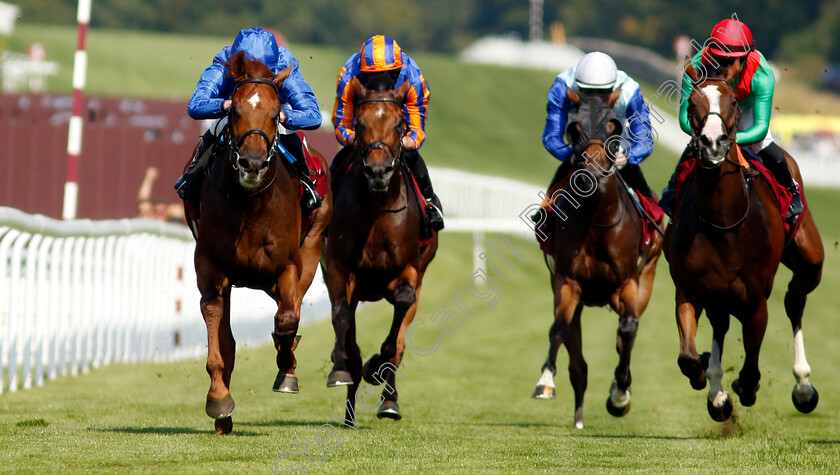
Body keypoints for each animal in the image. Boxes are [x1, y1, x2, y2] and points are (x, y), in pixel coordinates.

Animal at [190, 52, 332, 436]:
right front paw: (219, 401)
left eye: (275, 113)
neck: (250, 204)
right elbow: (219, 334)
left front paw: (287, 370)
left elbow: (287, 319)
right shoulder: (211, 267)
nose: (251, 163)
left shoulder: (289, 265)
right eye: (235, 110)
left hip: (311, 249)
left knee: (291, 310)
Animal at [324, 80, 440, 426]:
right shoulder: (338, 268)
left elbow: (395, 334)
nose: (378, 172)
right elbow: (342, 316)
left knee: (400, 340)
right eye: (360, 124)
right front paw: (341, 368)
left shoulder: (409, 270)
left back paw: (389, 399)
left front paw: (376, 368)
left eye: (400, 124)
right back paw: (350, 410)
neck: (377, 210)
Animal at [532, 89, 664, 432]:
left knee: (626, 331)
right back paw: (579, 415)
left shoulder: (627, 283)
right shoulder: (567, 282)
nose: (590, 174)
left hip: (645, 276)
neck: (596, 222)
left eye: (613, 127)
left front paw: (620, 393)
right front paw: (545, 382)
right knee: (576, 354)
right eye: (574, 128)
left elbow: (628, 329)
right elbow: (558, 328)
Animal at [668, 62, 824, 420]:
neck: (724, 222)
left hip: (810, 259)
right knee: (721, 325)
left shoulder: (755, 300)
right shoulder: (689, 288)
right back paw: (716, 386)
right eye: (692, 103)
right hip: (718, 295)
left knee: (794, 301)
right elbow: (688, 357)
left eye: (735, 103)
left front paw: (741, 387)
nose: (713, 143)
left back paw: (803, 386)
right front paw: (709, 382)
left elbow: (752, 368)